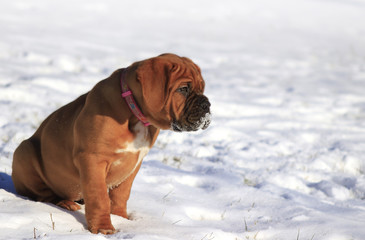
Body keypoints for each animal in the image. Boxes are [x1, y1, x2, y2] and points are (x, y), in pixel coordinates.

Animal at [12, 53, 210, 233]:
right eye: (183, 89)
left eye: (202, 88)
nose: (206, 104)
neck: (133, 112)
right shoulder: (93, 160)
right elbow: (99, 197)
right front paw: (103, 228)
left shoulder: (133, 165)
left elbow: (121, 194)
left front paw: (120, 218)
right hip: (24, 151)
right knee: (43, 195)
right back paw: (65, 203)